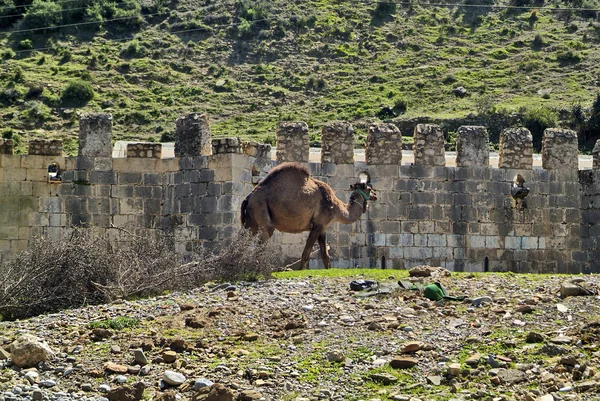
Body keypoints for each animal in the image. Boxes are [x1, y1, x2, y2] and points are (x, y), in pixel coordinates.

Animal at [239, 160, 376, 268]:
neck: (336, 207)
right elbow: (305, 254)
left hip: (250, 220)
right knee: (263, 240)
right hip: (260, 207)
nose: (375, 195)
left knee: (242, 238)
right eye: (368, 189)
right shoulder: (317, 225)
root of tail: (249, 197)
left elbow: (325, 255)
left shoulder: (323, 227)